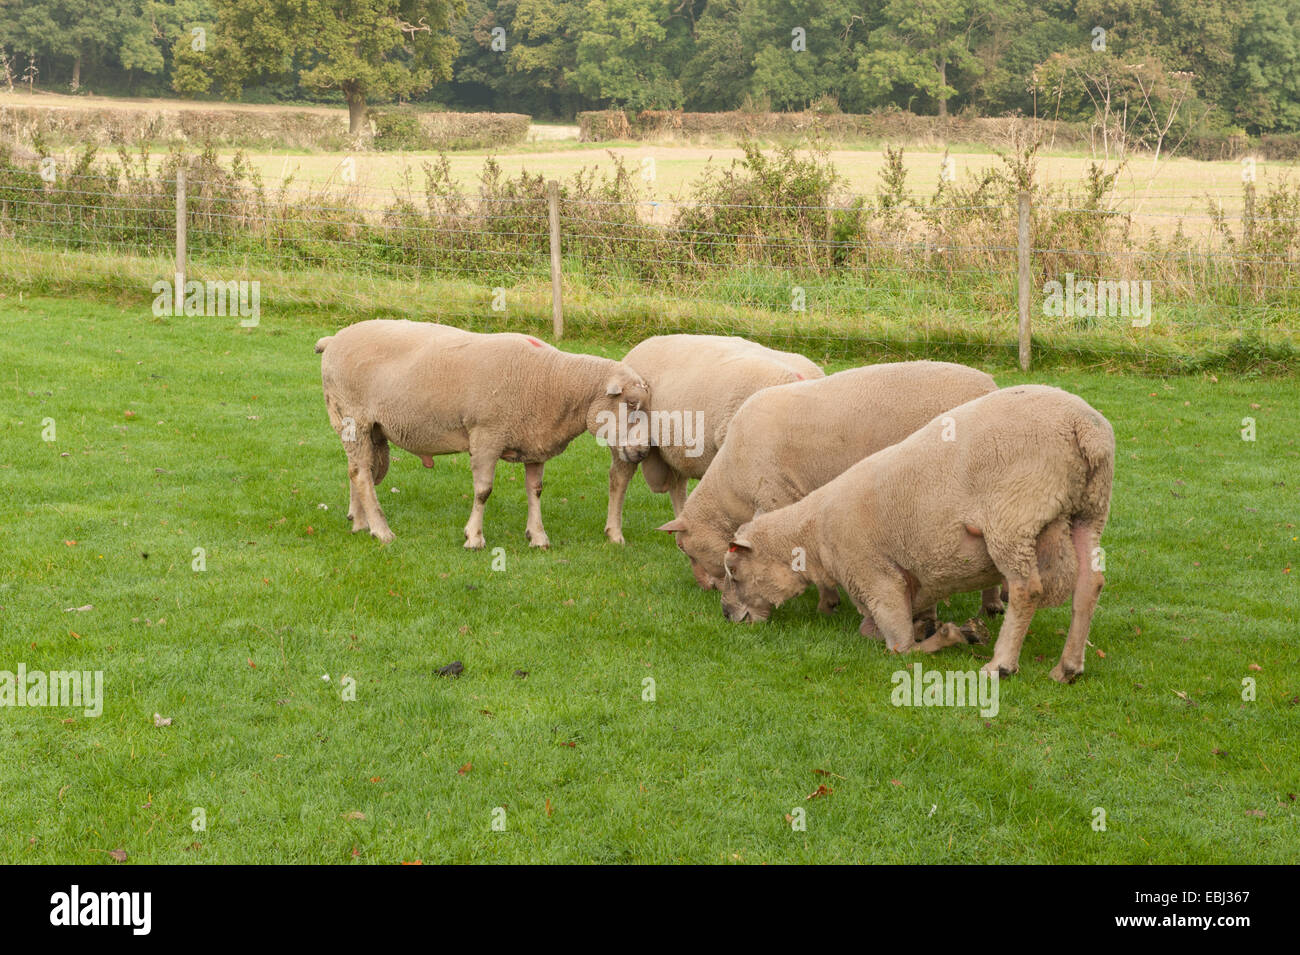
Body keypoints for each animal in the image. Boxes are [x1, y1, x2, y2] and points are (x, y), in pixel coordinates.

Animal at [600, 335, 821, 545]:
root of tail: (644, 343)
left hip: (678, 447)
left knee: (677, 486)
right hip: (623, 442)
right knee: (619, 479)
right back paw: (615, 534)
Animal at [660, 358, 993, 613]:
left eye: (685, 549)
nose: (706, 588)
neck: (731, 486)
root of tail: (990, 385)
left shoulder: (776, 497)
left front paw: (827, 602)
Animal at [717, 384, 1112, 686]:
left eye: (733, 572)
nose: (726, 615)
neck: (813, 534)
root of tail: (1083, 427)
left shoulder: (876, 578)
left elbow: (899, 647)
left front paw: (954, 634)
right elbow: (886, 626)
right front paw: (931, 626)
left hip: (1013, 518)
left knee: (1026, 589)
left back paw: (1000, 664)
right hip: (1089, 511)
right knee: (1089, 583)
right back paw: (1068, 667)